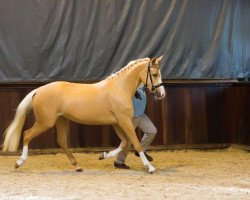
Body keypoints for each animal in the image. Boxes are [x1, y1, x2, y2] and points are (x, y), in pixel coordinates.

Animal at [2, 56, 166, 173]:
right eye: (154, 74)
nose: (162, 94)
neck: (120, 88)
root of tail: (38, 90)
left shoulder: (117, 123)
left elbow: (125, 142)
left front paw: (103, 155)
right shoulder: (124, 121)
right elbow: (135, 143)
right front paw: (150, 167)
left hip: (61, 120)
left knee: (62, 141)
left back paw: (77, 166)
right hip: (45, 122)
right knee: (27, 134)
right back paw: (19, 162)